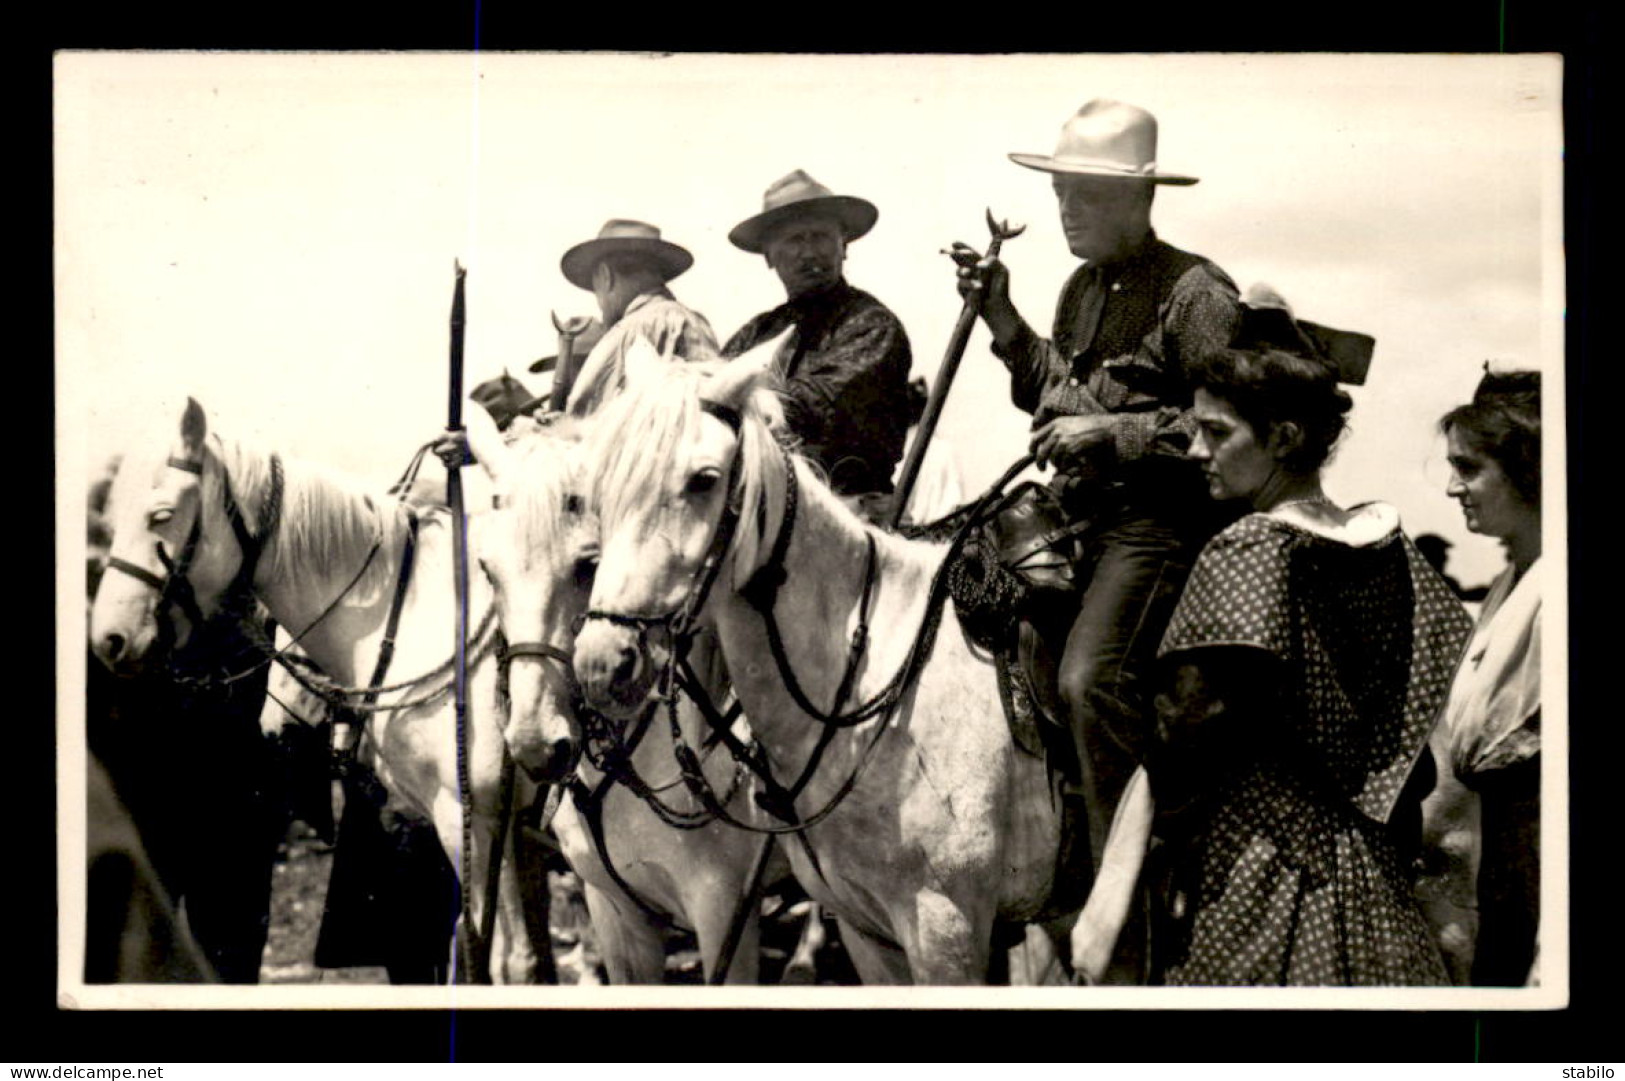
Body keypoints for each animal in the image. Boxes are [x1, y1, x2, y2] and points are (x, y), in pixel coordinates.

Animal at [88, 395, 542, 975]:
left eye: (161, 515)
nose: (109, 638)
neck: (425, 615)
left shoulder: (477, 819)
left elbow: (505, 960)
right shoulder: (509, 832)